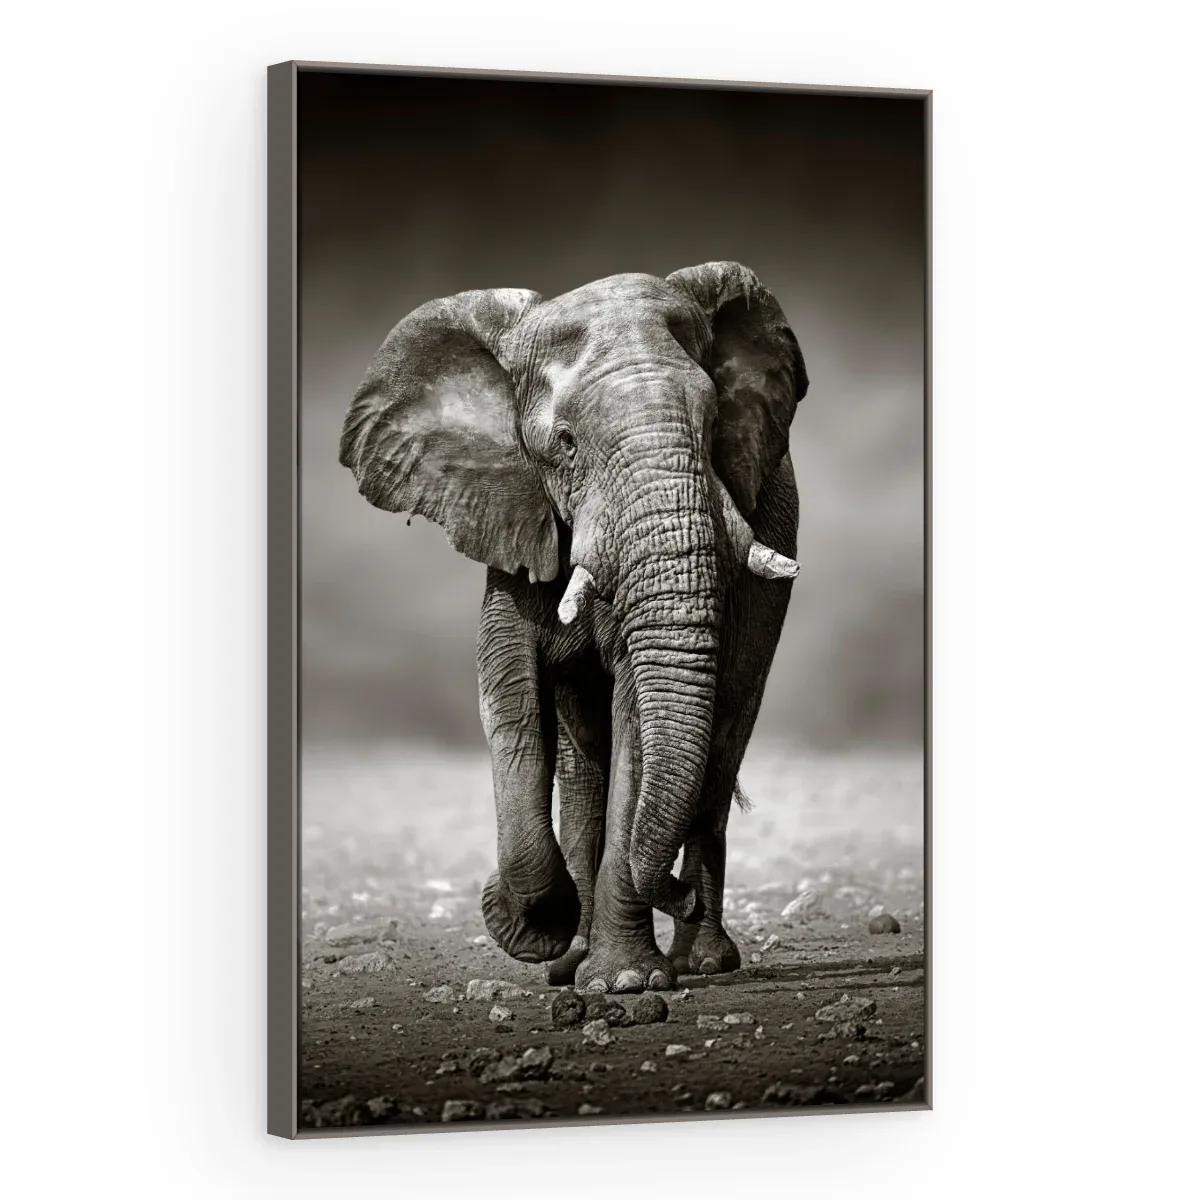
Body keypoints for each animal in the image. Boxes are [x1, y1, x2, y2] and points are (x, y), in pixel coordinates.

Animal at [339, 262, 807, 993]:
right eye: (564, 445)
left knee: (722, 739)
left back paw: (701, 961)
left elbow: (637, 716)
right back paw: (572, 959)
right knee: (584, 762)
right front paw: (534, 931)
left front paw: (625, 983)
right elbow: (510, 698)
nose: (677, 895)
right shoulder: (511, 515)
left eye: (712, 431)